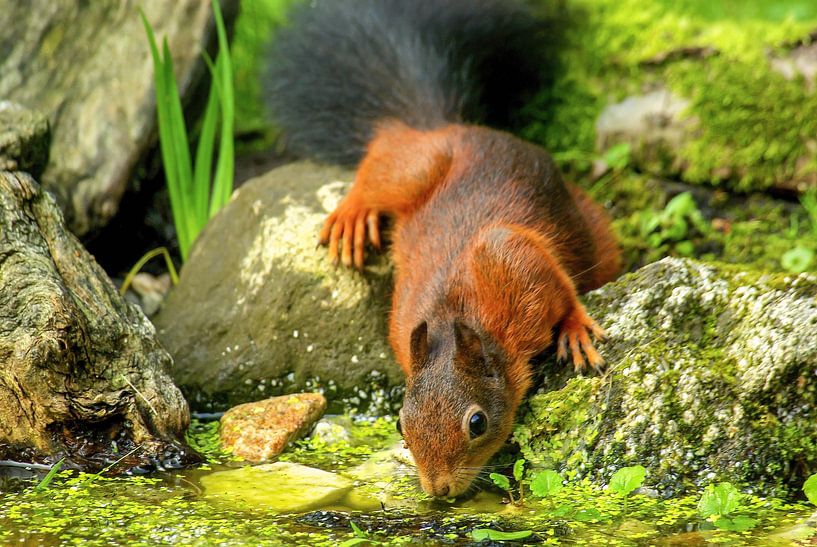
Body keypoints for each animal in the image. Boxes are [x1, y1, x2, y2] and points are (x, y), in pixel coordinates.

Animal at [265, 0, 621, 498]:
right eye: (400, 424)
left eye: (477, 422)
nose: (438, 490)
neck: (458, 318)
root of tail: (451, 126)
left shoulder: (509, 259)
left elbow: (557, 286)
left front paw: (574, 326)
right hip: (416, 172)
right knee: (381, 162)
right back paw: (353, 214)